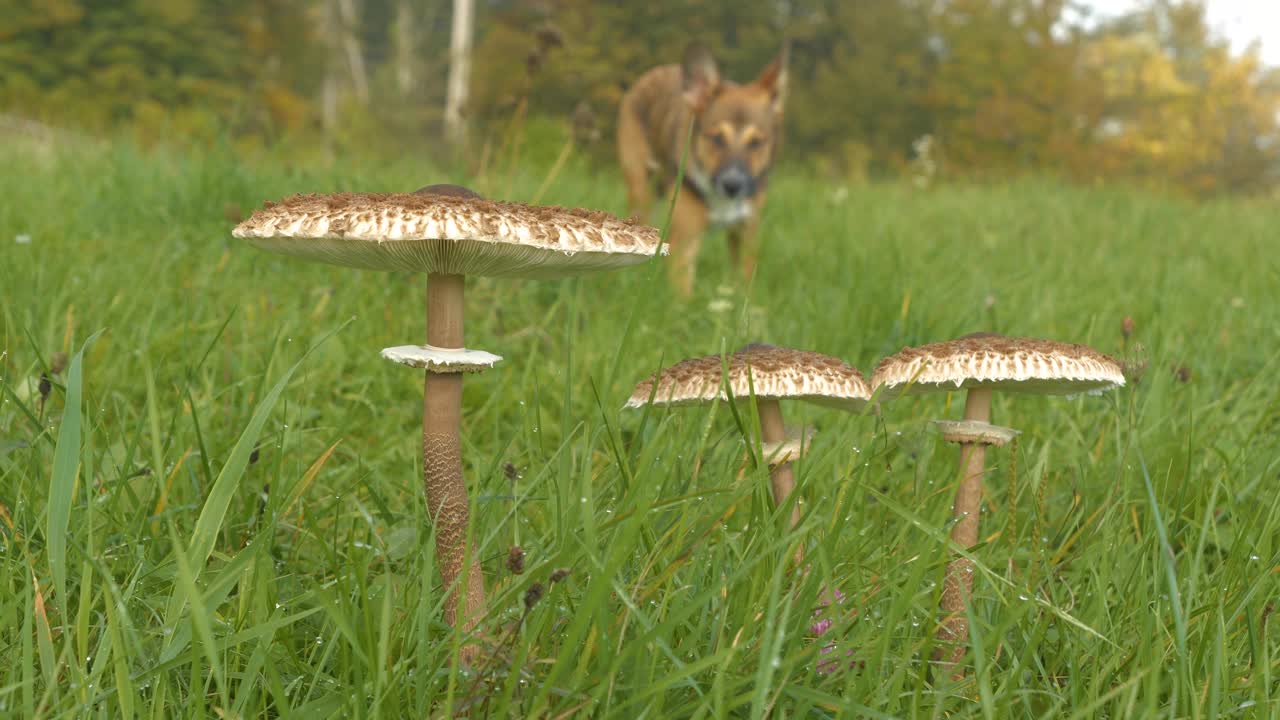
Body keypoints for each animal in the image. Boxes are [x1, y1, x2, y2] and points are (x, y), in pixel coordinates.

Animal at [614, 43, 783, 294]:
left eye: (756, 142)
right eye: (717, 138)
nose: (732, 185)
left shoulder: (746, 230)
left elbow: (745, 280)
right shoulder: (686, 238)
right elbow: (683, 293)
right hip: (640, 186)